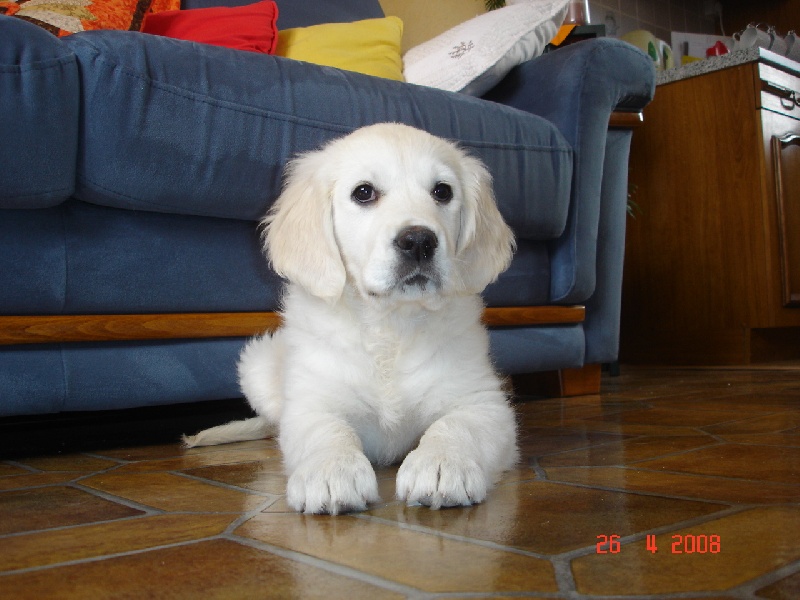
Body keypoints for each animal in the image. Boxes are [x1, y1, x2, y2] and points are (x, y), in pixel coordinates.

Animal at [184, 123, 516, 516]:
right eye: (363, 192)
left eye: (442, 191)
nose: (419, 241)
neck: (391, 325)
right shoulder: (311, 402)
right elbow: (328, 431)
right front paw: (331, 471)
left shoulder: (483, 401)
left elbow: (457, 425)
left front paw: (442, 463)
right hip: (257, 365)